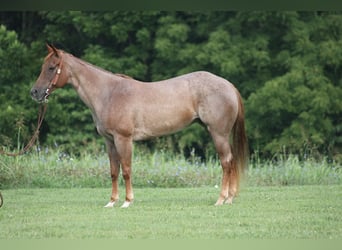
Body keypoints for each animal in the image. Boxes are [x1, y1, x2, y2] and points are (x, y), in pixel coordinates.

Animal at [30, 44, 247, 208]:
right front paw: (111, 202)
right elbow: (114, 171)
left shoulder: (123, 139)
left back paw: (221, 199)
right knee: (231, 161)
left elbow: (126, 169)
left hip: (218, 134)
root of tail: (228, 85)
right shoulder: (110, 141)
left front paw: (127, 201)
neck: (109, 93)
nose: (35, 92)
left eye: (51, 67)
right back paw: (230, 198)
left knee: (226, 162)